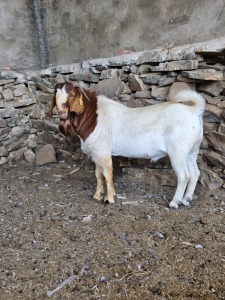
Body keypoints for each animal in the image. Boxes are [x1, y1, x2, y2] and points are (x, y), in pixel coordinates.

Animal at [48, 82, 206, 209]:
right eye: (55, 94)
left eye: (72, 94)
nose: (62, 113)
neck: (94, 117)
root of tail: (194, 111)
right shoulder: (96, 153)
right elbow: (98, 174)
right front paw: (97, 195)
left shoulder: (103, 152)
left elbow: (107, 174)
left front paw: (109, 198)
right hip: (192, 151)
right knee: (195, 173)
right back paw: (186, 199)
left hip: (178, 151)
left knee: (184, 176)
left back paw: (175, 202)